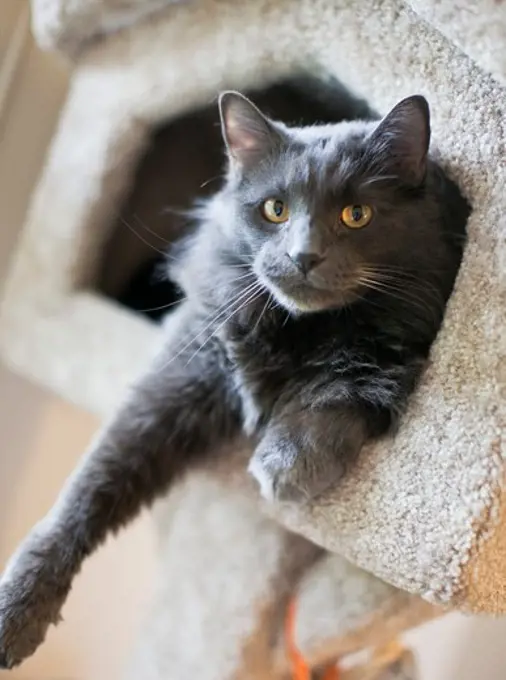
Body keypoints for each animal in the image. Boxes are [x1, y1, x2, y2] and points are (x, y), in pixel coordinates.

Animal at [0, 87, 468, 668]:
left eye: (356, 214)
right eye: (275, 210)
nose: (303, 255)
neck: (297, 329)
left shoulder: (394, 348)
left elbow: (341, 386)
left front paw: (286, 464)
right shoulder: (180, 375)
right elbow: (86, 492)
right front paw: (18, 610)